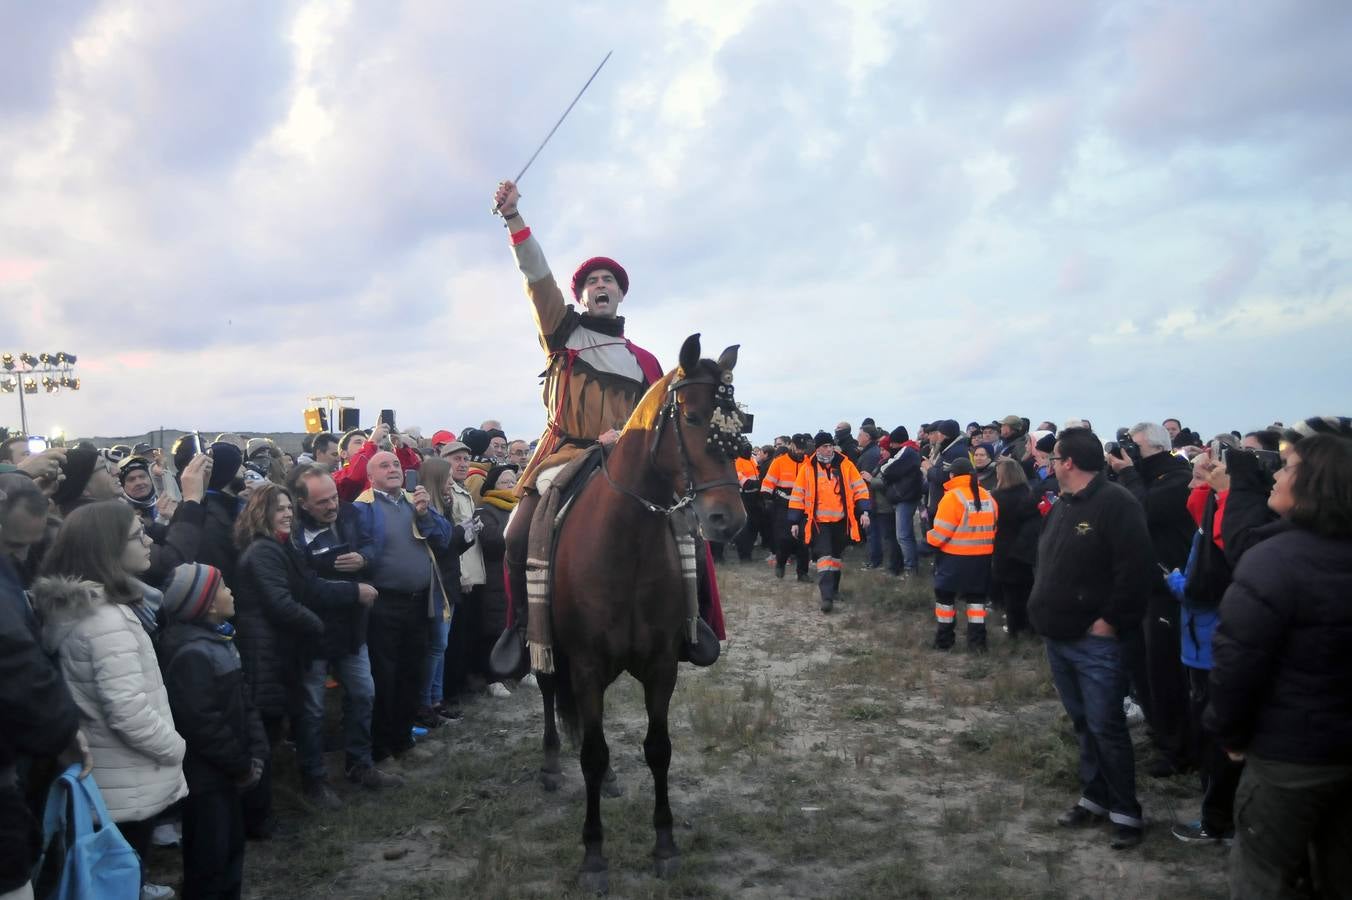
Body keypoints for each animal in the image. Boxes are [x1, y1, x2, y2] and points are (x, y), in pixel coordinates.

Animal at [535, 331, 751, 891]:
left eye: (739, 428)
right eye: (692, 417)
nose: (730, 520)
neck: (625, 543)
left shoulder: (659, 665)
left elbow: (658, 749)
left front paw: (665, 844)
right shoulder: (586, 666)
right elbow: (591, 753)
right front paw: (593, 855)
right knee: (547, 691)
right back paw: (549, 765)